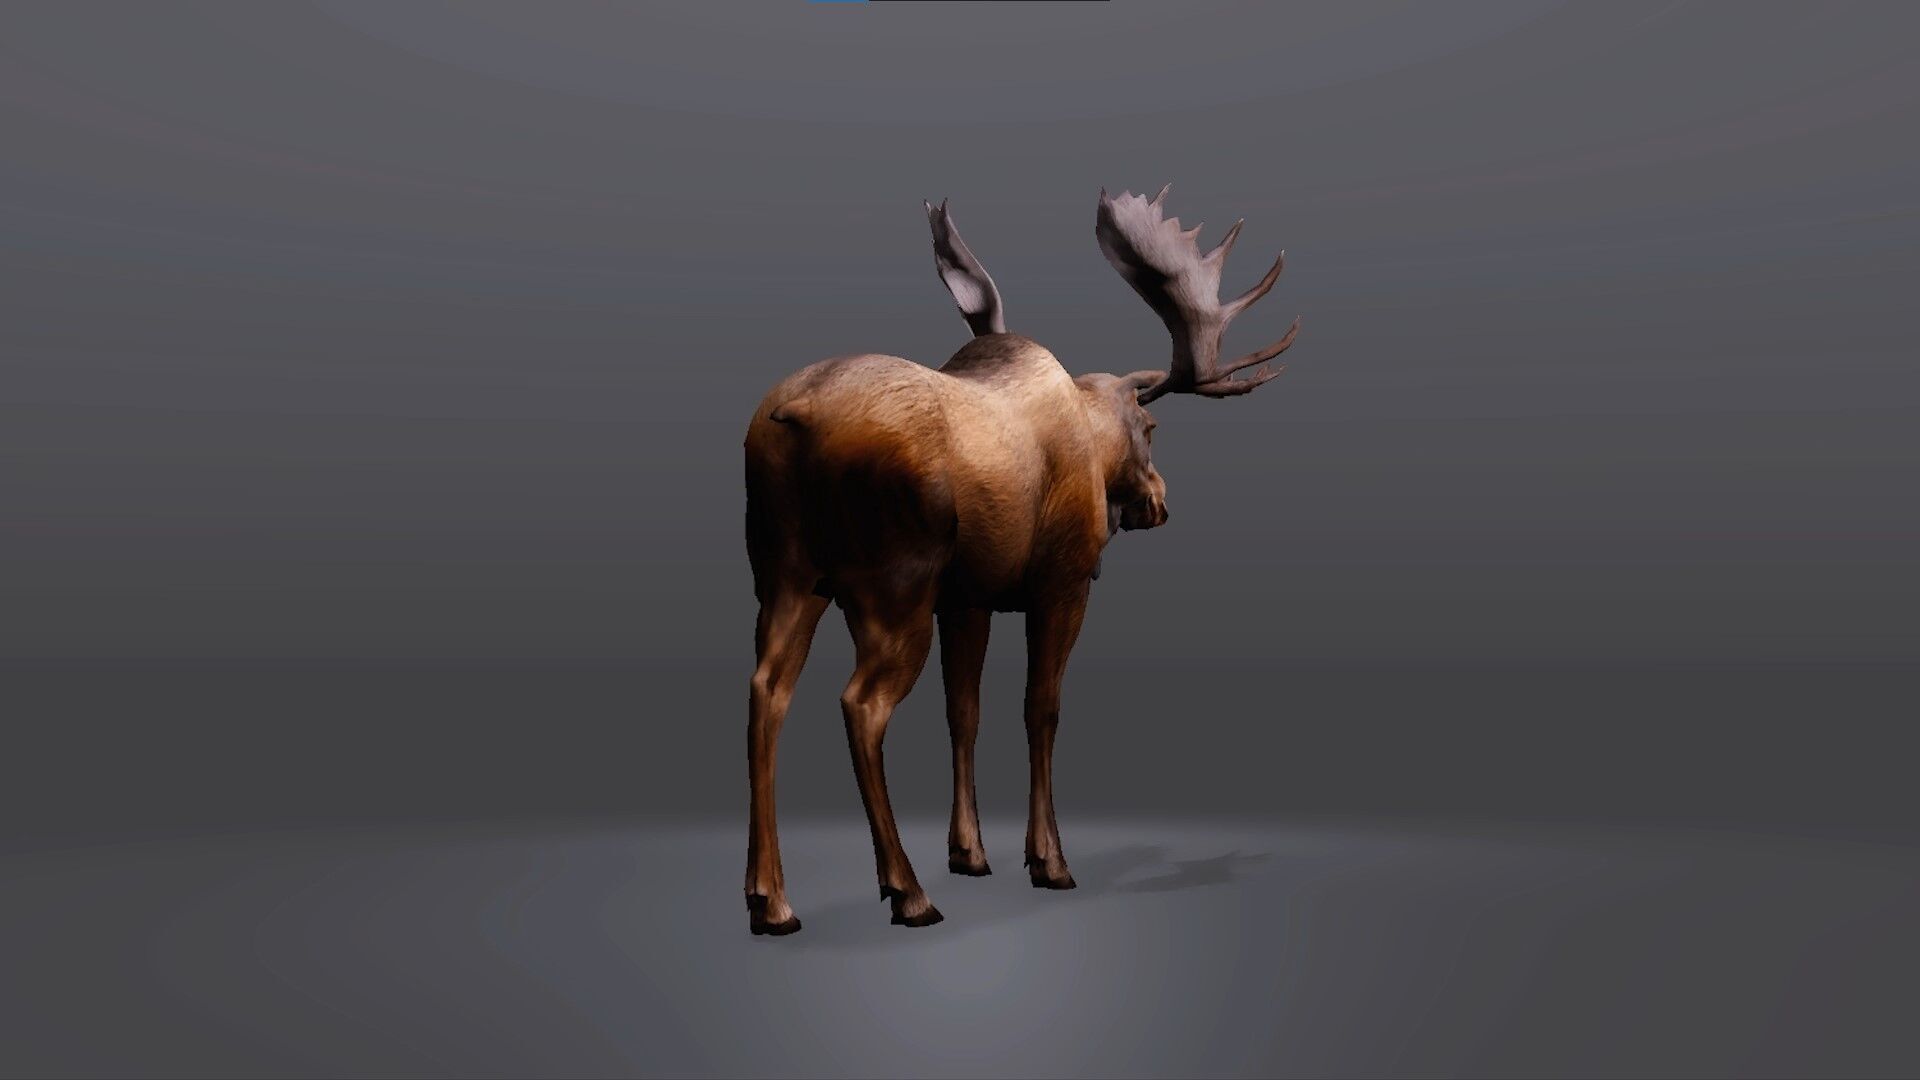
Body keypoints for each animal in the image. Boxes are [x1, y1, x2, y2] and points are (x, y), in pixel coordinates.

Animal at [742, 185, 1301, 935]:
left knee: (766, 690)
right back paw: (906, 891)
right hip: (892, 591)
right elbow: (1042, 708)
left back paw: (770, 900)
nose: (1158, 502)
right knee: (860, 703)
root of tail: (791, 418)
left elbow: (964, 710)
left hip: (786, 578)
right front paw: (1049, 861)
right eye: (1151, 427)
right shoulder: (1061, 584)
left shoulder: (967, 598)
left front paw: (970, 852)